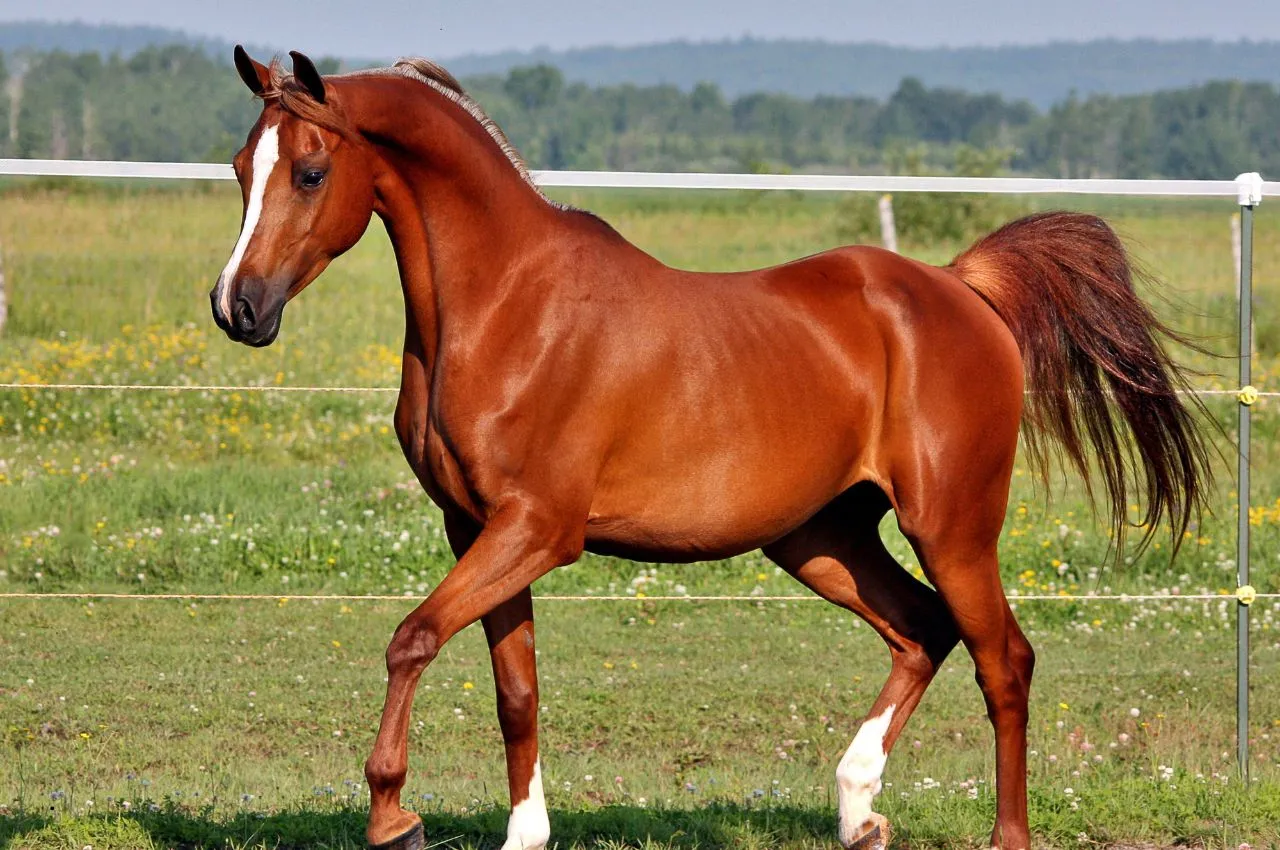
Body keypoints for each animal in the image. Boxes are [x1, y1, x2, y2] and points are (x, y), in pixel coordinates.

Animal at [210, 47, 1210, 850]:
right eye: (239, 167)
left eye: (310, 172)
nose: (238, 308)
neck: (505, 305)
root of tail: (961, 289)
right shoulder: (478, 530)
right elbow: (514, 690)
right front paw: (522, 833)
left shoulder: (538, 530)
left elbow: (411, 639)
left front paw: (392, 816)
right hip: (821, 538)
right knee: (922, 630)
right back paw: (858, 810)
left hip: (952, 527)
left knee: (1003, 659)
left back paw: (1002, 834)